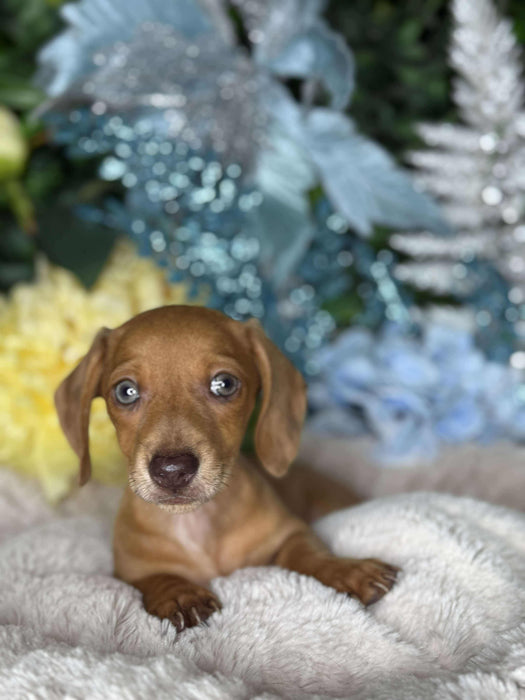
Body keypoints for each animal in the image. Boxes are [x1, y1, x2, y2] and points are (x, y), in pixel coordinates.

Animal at [54, 304, 398, 632]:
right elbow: (155, 578)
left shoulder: (290, 533)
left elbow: (308, 553)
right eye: (125, 391)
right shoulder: (128, 571)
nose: (172, 470)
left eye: (224, 384)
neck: (197, 524)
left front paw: (346, 569)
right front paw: (179, 594)